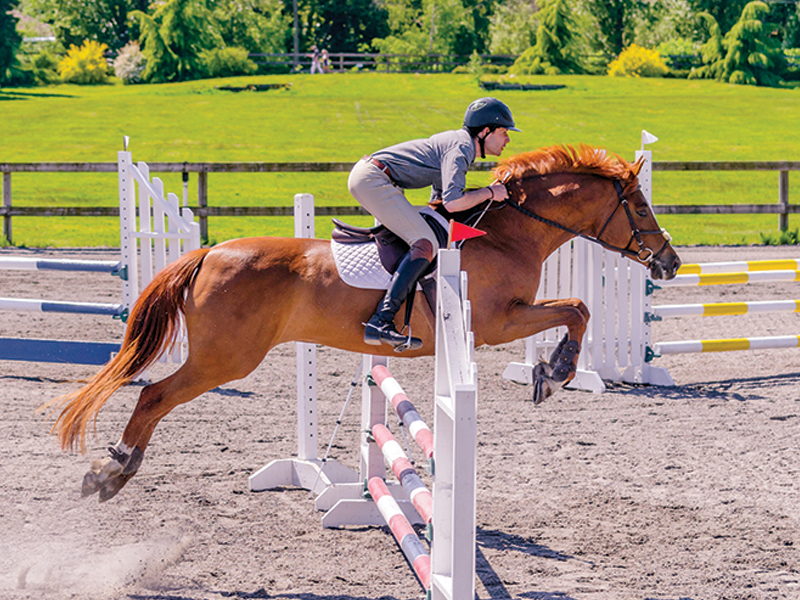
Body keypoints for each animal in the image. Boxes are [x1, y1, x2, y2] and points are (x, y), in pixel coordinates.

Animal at [44, 144, 681, 502]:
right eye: (640, 206)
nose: (670, 262)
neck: (507, 231)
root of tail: (209, 252)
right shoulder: (496, 323)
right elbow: (576, 309)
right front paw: (554, 373)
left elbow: (578, 308)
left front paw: (552, 372)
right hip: (224, 358)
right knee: (154, 395)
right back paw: (111, 473)